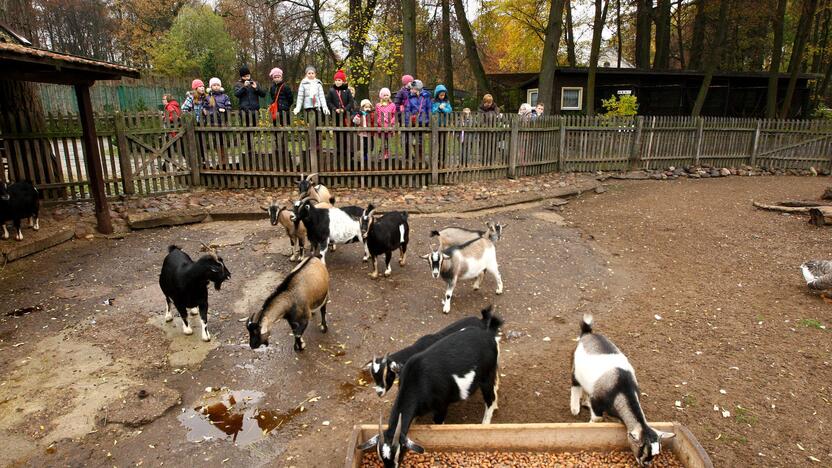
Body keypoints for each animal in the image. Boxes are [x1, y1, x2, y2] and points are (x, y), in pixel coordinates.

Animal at [572, 312, 676, 466]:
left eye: (655, 453)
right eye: (642, 449)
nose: (646, 464)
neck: (621, 389)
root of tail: (587, 334)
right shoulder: (597, 401)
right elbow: (597, 419)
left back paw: (584, 401)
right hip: (575, 371)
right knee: (575, 385)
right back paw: (575, 407)